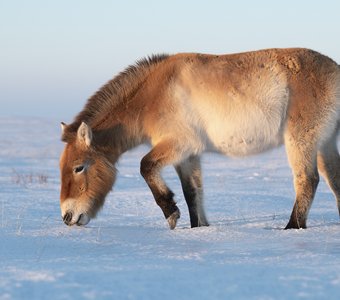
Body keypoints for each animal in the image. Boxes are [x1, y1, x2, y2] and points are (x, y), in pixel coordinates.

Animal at [59, 47, 340, 230]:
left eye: (78, 167)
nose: (67, 217)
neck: (153, 95)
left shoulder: (180, 144)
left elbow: (145, 166)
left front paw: (171, 213)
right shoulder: (188, 155)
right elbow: (193, 191)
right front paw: (199, 228)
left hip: (301, 140)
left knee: (307, 180)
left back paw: (292, 227)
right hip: (325, 143)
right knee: (334, 181)